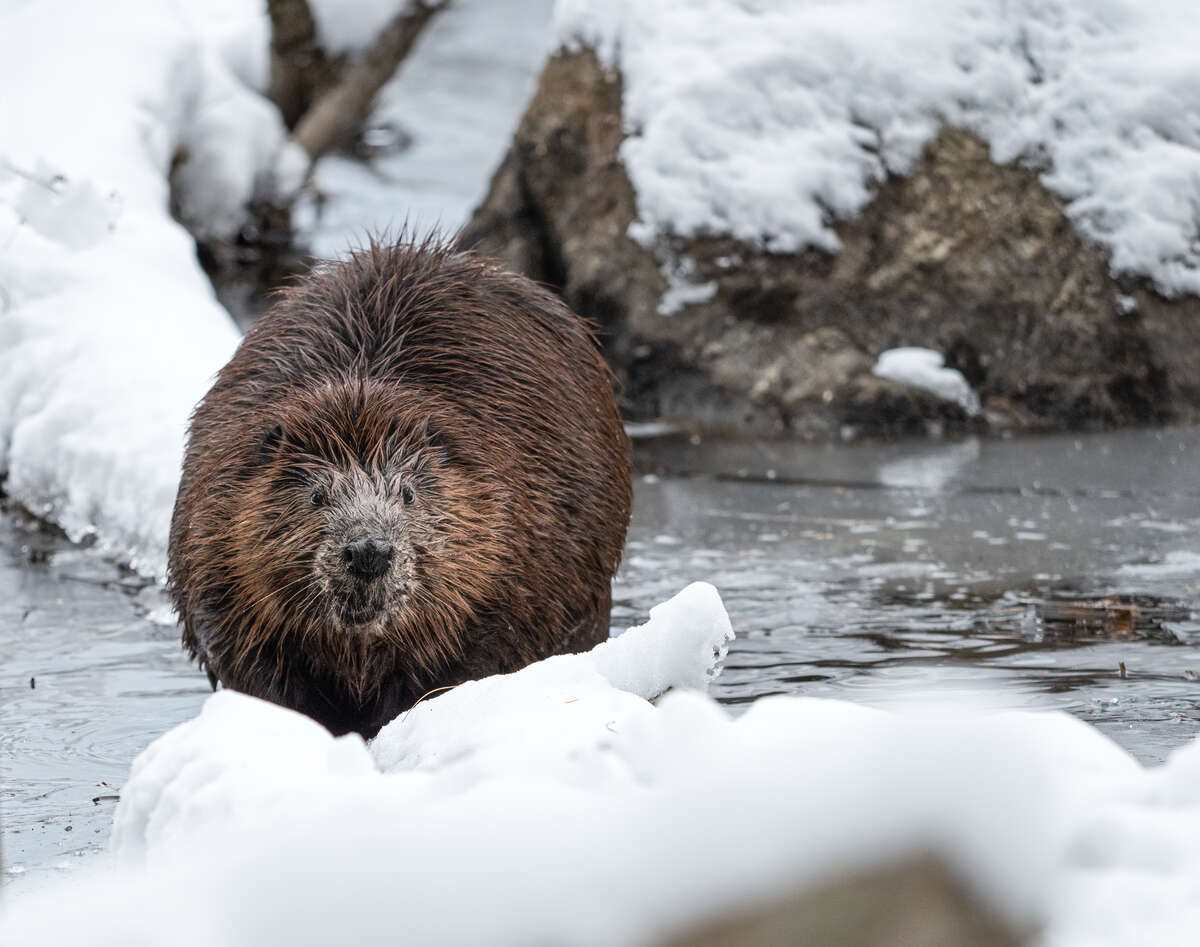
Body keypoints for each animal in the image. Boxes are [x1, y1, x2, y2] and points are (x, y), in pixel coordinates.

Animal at [171, 238, 638, 739]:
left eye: (409, 494)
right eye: (316, 495)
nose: (368, 550)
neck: (359, 397)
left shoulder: (514, 538)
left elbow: (484, 644)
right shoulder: (215, 531)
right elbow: (245, 655)